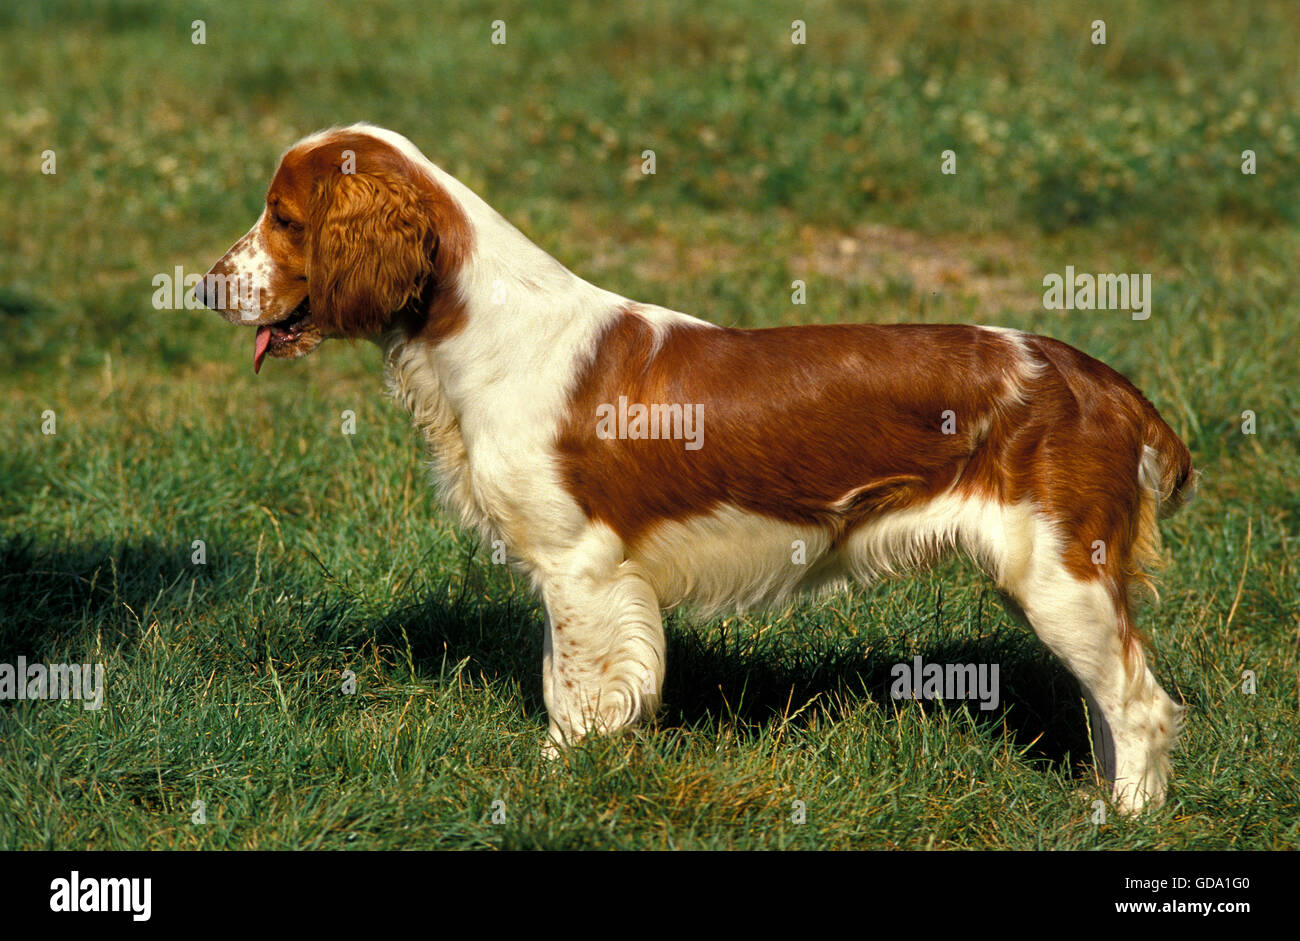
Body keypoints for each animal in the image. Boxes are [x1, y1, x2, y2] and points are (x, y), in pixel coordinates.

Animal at [195, 122, 1196, 816]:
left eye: (282, 218)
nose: (203, 286)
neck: (479, 325)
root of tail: (1104, 381)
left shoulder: (581, 567)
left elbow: (576, 691)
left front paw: (556, 780)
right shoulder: (577, 573)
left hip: (1063, 574)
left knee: (1141, 702)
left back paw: (1124, 818)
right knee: (1110, 700)